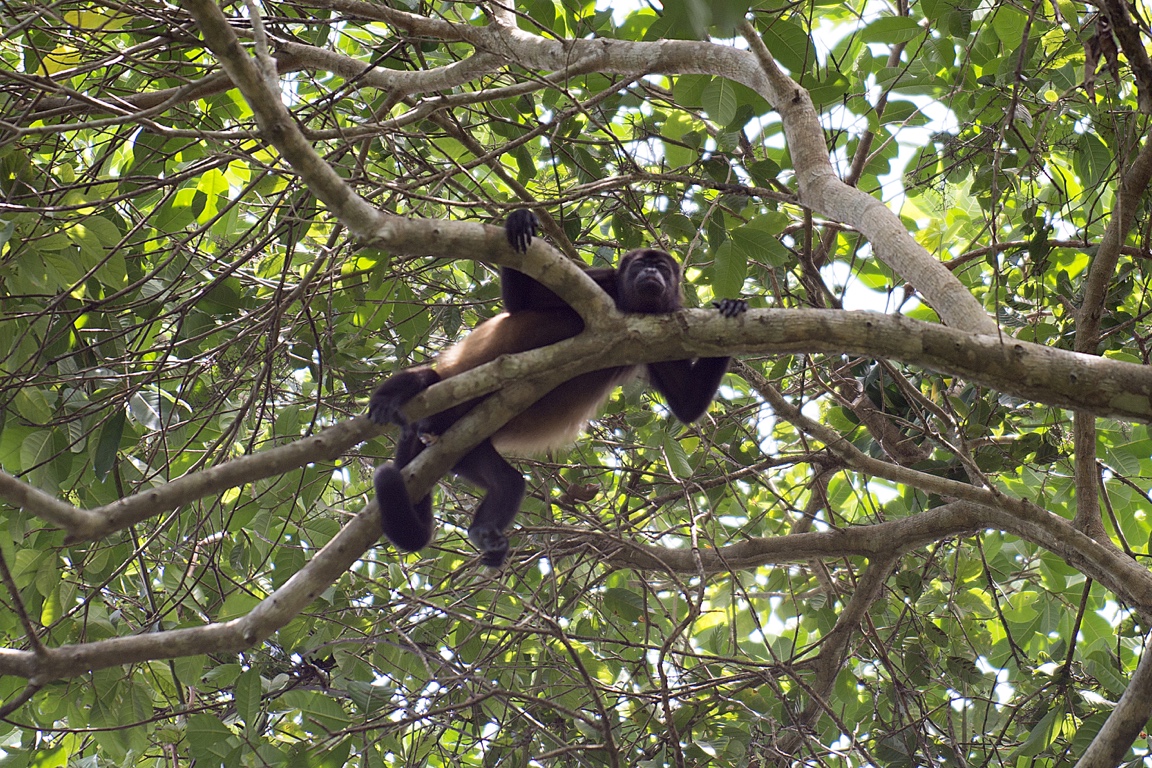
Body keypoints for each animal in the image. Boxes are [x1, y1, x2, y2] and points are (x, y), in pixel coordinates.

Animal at [368, 207, 746, 568]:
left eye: (663, 268)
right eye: (641, 264)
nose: (651, 273)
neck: (632, 305)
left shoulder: (665, 328)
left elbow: (688, 404)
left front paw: (731, 309)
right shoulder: (597, 280)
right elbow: (520, 304)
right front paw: (519, 219)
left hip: (465, 448)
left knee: (509, 483)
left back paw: (484, 532)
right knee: (427, 379)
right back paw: (390, 399)